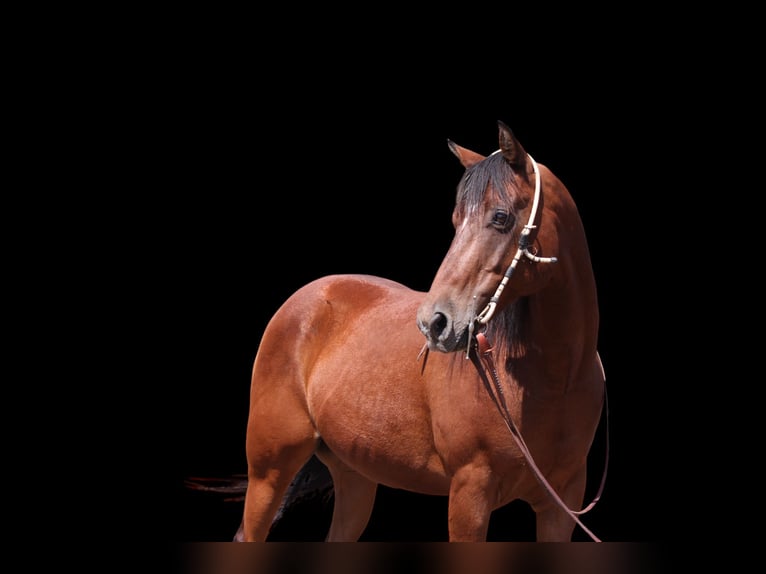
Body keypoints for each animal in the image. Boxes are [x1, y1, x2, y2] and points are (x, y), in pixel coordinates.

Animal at [234, 121, 605, 542]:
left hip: (355, 475)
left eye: (500, 217)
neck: (555, 381)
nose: (435, 322)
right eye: (456, 222)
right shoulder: (469, 495)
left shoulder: (563, 505)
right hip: (269, 470)